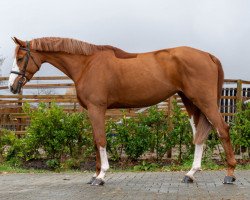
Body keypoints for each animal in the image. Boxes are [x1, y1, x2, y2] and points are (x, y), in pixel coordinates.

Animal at [8, 36, 236, 185]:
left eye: (19, 58)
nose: (11, 86)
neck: (87, 64)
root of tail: (208, 55)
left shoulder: (97, 108)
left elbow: (101, 140)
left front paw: (101, 176)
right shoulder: (93, 111)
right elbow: (95, 140)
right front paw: (94, 175)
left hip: (204, 100)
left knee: (222, 129)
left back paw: (230, 174)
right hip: (190, 101)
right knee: (200, 134)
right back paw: (190, 174)